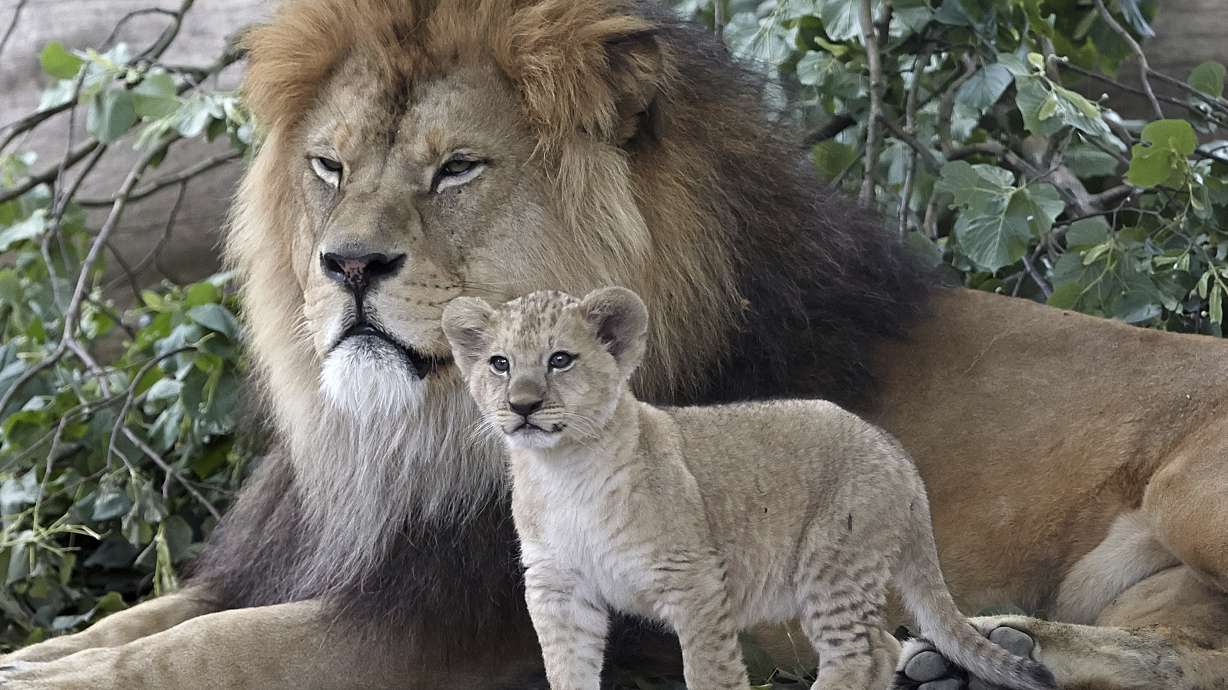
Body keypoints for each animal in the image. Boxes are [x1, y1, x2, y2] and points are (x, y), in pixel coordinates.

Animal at [2, 1, 1227, 689]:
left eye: (458, 168)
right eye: (329, 166)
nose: (346, 266)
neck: (406, 437)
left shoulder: (463, 628)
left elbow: (194, 651)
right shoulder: (312, 563)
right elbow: (147, 618)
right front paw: (32, 656)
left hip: (1191, 487)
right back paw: (983, 658)